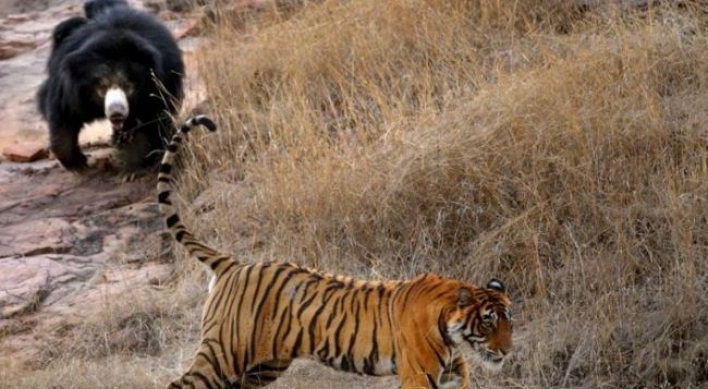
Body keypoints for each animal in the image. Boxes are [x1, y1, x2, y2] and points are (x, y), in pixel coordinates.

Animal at [37, 0, 184, 171]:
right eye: (102, 88)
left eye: (127, 86)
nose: (116, 113)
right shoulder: (69, 87)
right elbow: (64, 115)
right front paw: (77, 164)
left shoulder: (159, 85)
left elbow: (150, 120)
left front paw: (134, 164)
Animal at [158, 113, 512, 386]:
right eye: (488, 322)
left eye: (510, 321)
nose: (508, 351)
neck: (452, 331)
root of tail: (233, 264)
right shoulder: (419, 374)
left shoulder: (453, 372)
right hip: (224, 353)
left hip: (262, 366)